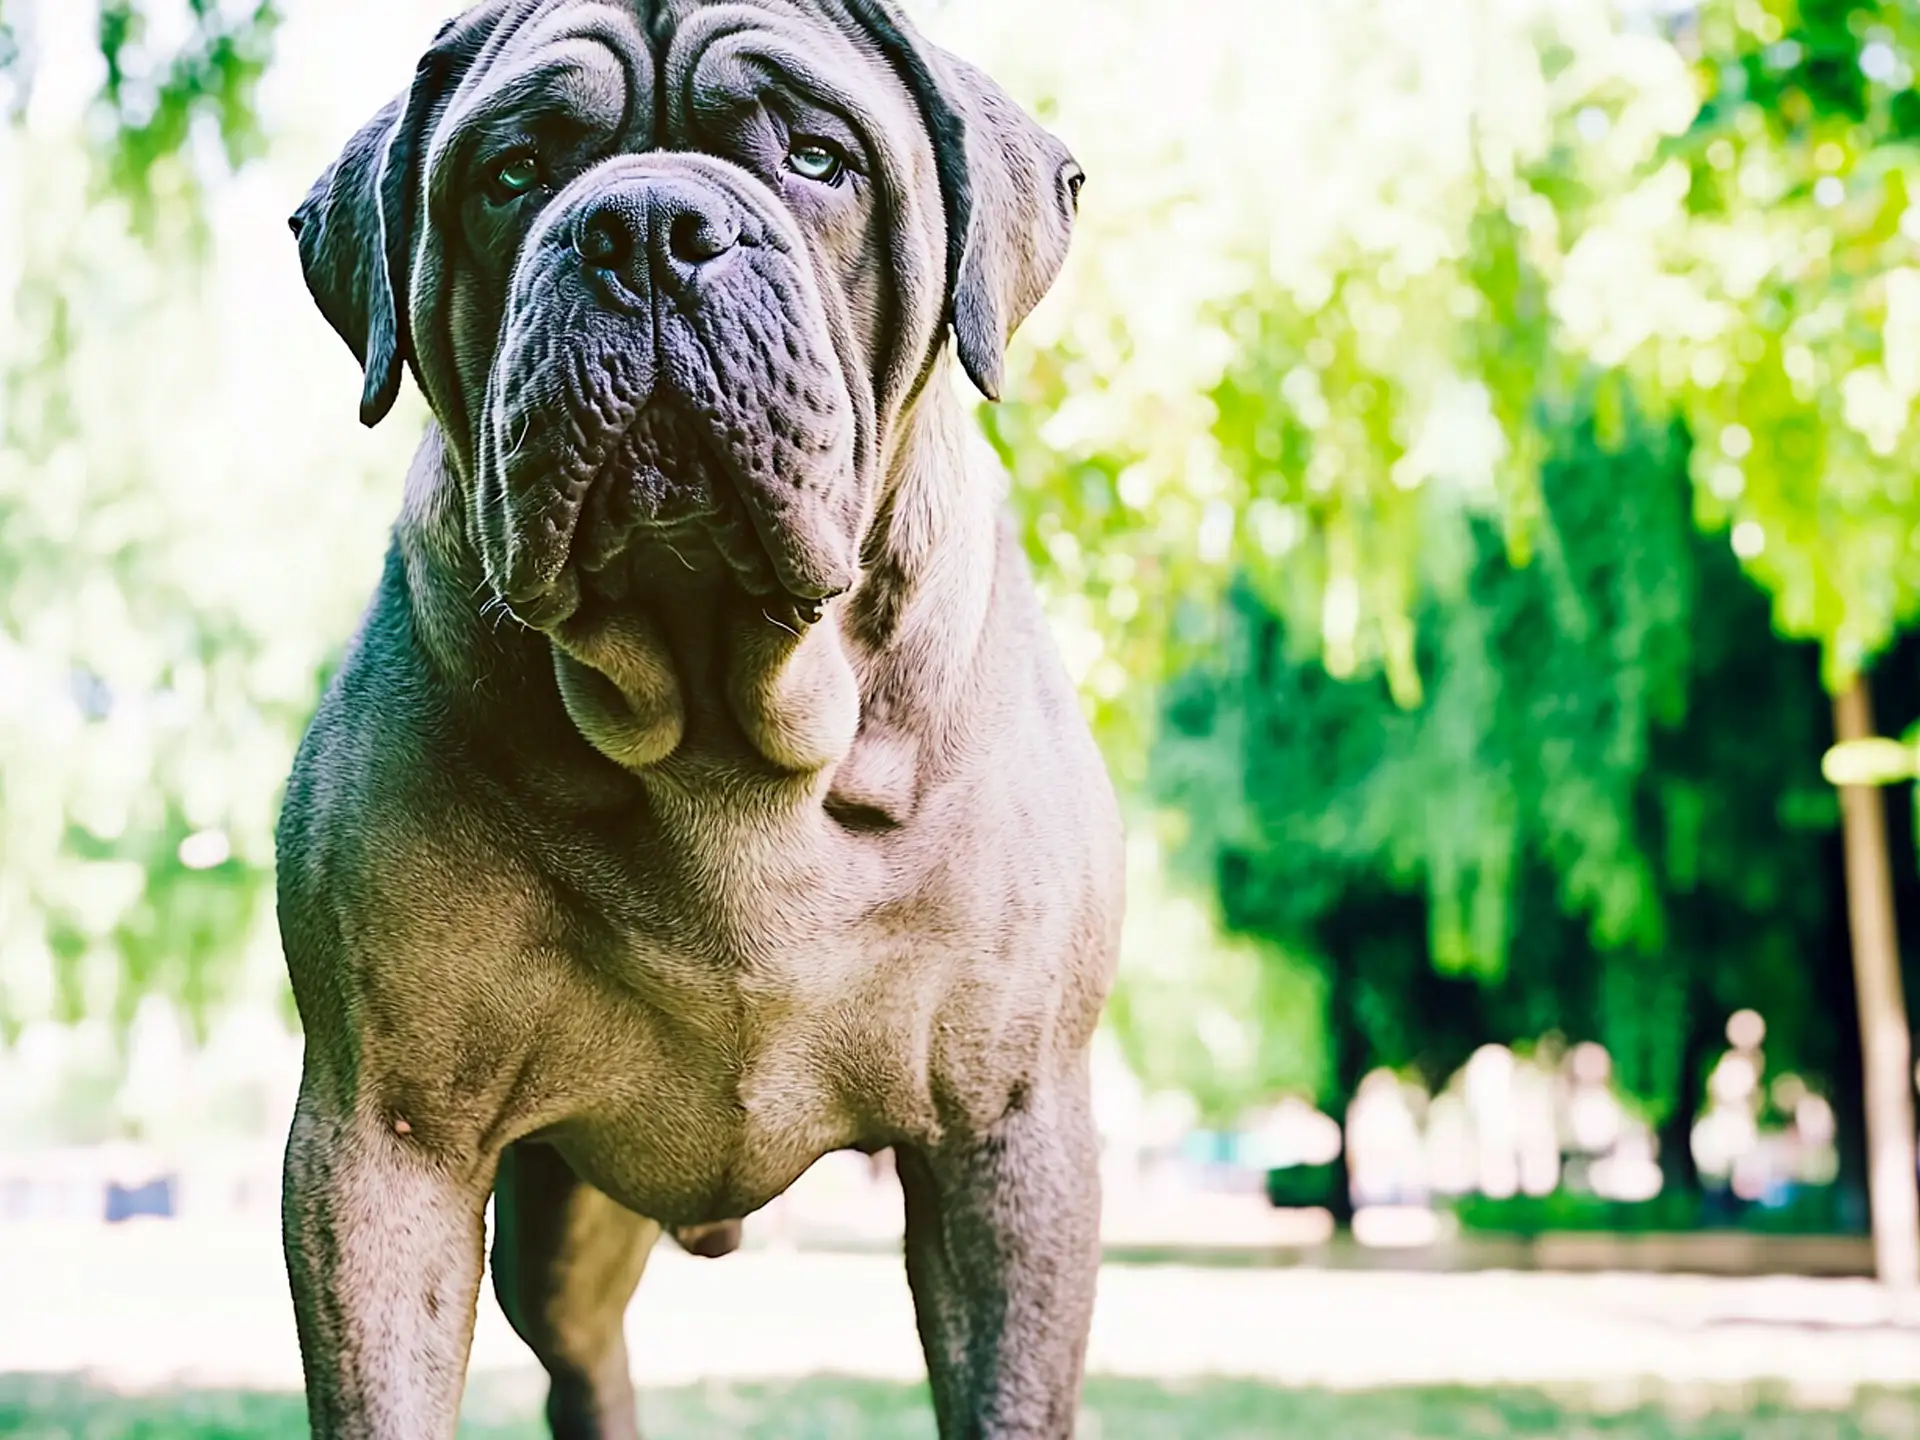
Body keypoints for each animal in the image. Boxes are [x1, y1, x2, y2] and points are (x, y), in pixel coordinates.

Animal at [282, 5, 1121, 1436]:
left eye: (817, 156)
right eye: (512, 171)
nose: (644, 228)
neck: (723, 716)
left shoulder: (1009, 1127)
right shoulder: (389, 1132)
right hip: (560, 1237)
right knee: (585, 1359)